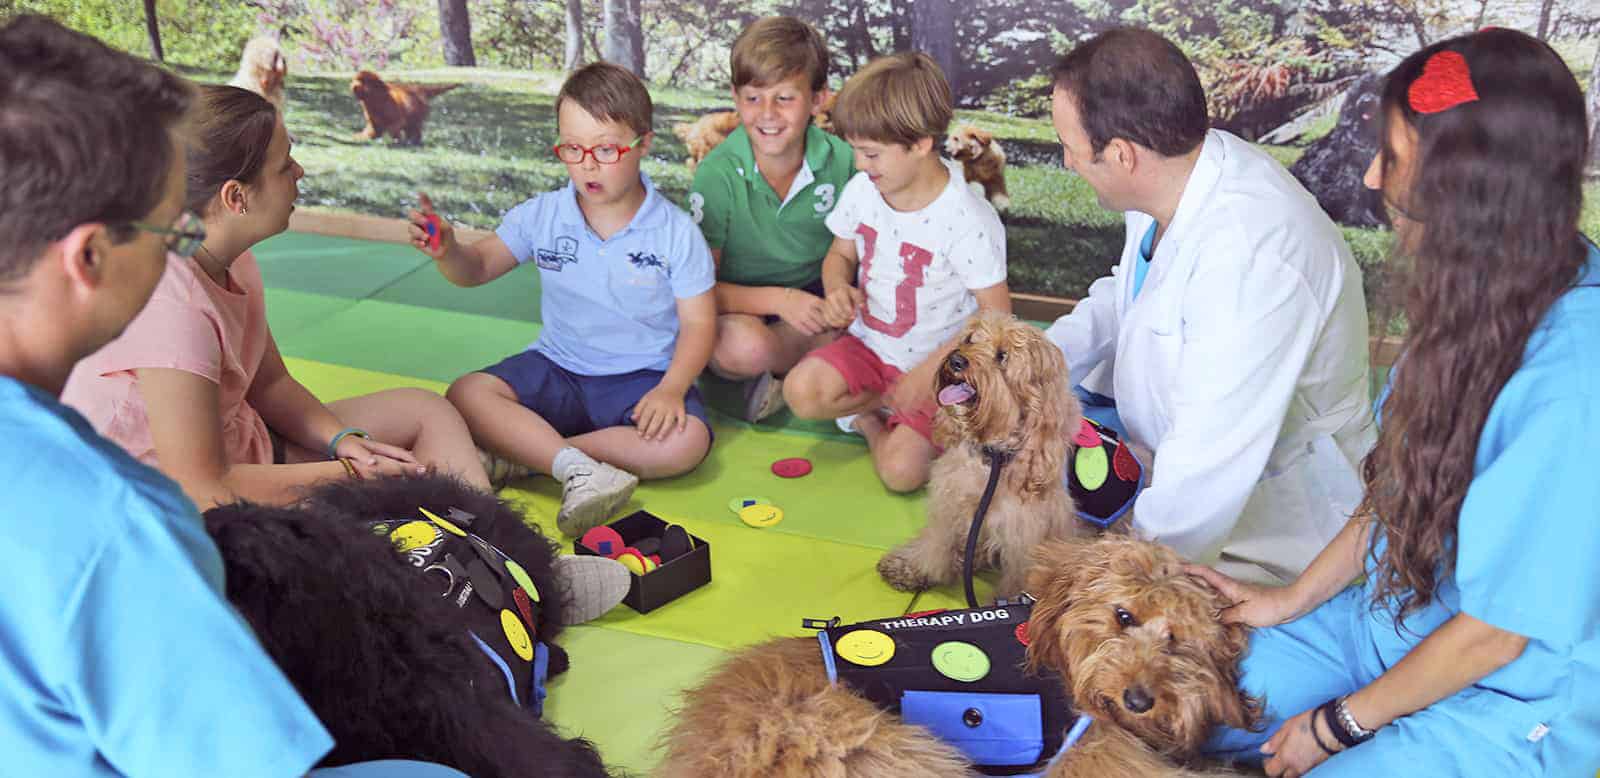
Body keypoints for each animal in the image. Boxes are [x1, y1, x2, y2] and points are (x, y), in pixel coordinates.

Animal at [876, 313, 1088, 598]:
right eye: (970, 339)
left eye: (1002, 355)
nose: (956, 360)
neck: (991, 458)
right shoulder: (947, 507)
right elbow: (933, 546)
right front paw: (912, 568)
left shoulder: (1024, 538)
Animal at [1286, 72, 1388, 227]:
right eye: (1360, 91)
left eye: (1376, 90)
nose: (1366, 101)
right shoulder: (1353, 171)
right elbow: (1357, 194)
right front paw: (1363, 220)